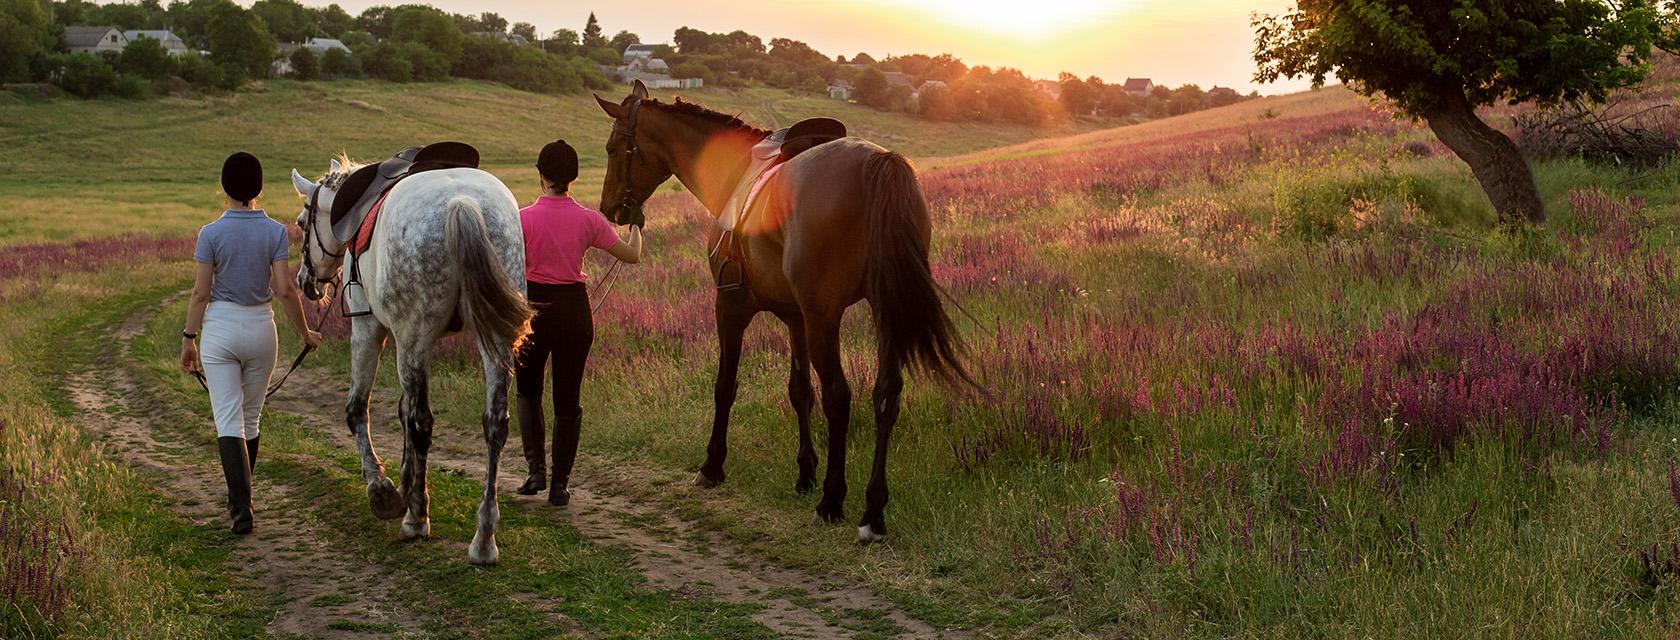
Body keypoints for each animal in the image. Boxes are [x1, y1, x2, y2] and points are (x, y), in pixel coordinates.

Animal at [290, 158, 532, 565]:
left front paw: (385, 491)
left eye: (301, 221)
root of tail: (462, 203)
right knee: (495, 425)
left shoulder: (371, 329)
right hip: (494, 339)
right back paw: (484, 538)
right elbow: (403, 411)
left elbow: (359, 410)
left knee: (422, 423)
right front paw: (406, 482)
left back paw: (417, 519)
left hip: (414, 340)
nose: (306, 280)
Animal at [593, 80, 967, 542]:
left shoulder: (731, 307)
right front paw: (805, 474)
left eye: (612, 148)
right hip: (884, 310)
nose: (609, 209)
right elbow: (799, 391)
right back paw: (872, 512)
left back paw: (833, 500)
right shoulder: (796, 318)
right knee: (886, 395)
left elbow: (726, 386)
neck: (735, 174)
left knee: (839, 396)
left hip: (826, 317)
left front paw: (712, 465)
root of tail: (878, 162)